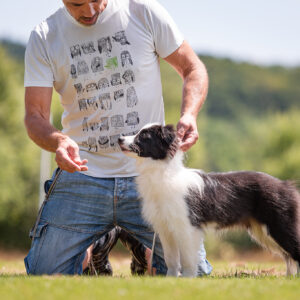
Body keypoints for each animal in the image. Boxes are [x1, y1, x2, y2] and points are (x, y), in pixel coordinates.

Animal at [118, 123, 300, 276]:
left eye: (144, 136)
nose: (119, 139)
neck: (163, 173)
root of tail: (286, 185)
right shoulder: (165, 229)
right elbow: (171, 259)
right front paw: (171, 279)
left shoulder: (187, 227)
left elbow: (187, 259)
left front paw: (187, 279)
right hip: (263, 231)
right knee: (289, 256)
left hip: (280, 225)